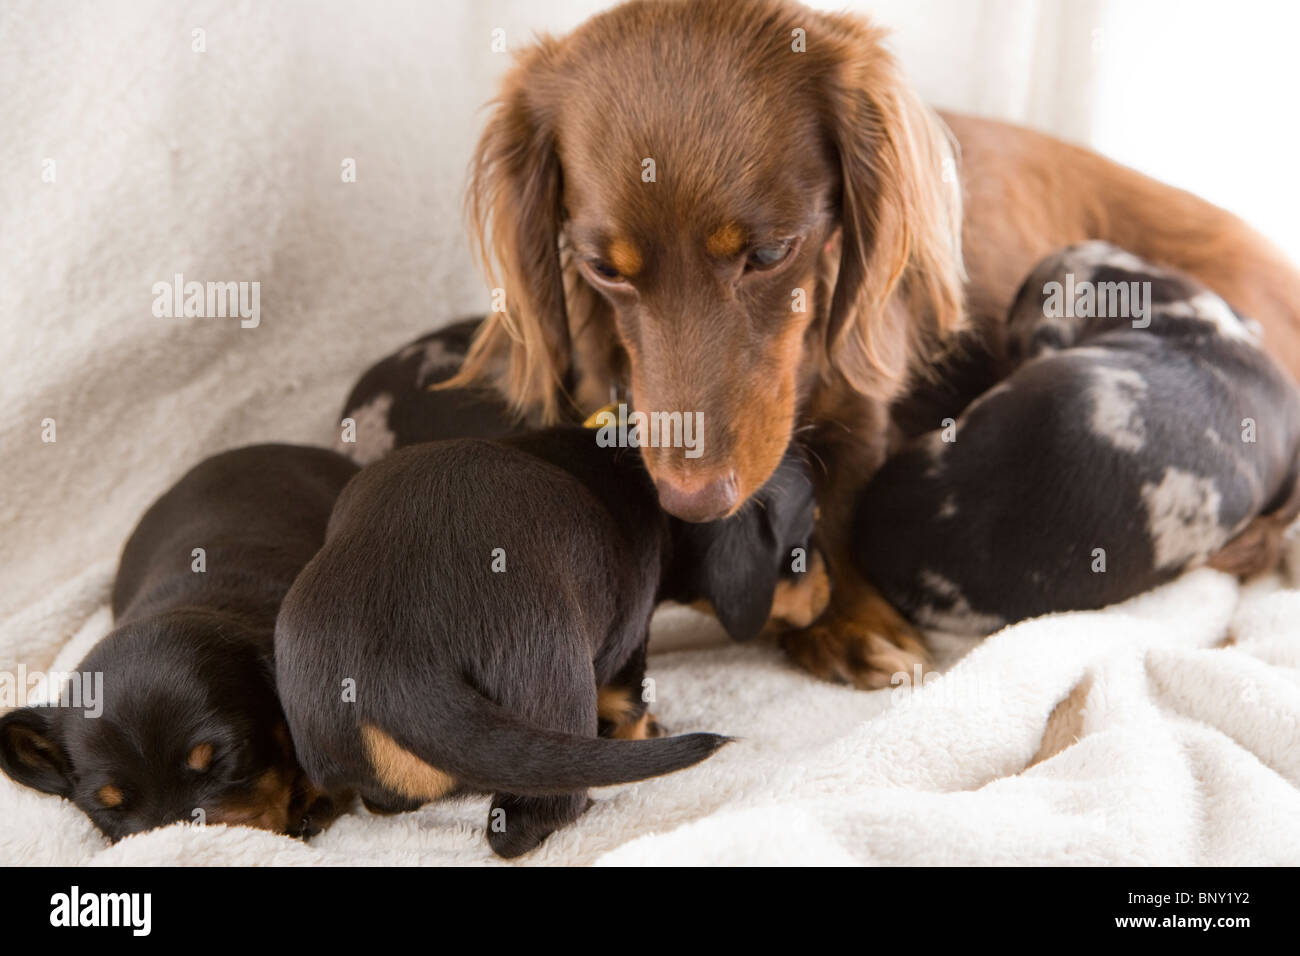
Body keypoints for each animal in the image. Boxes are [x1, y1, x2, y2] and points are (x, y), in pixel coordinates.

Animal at [275, 429, 821, 858]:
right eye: (810, 529)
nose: (826, 602)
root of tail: (395, 666)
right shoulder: (629, 646)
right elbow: (632, 708)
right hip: (553, 667)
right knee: (525, 823)